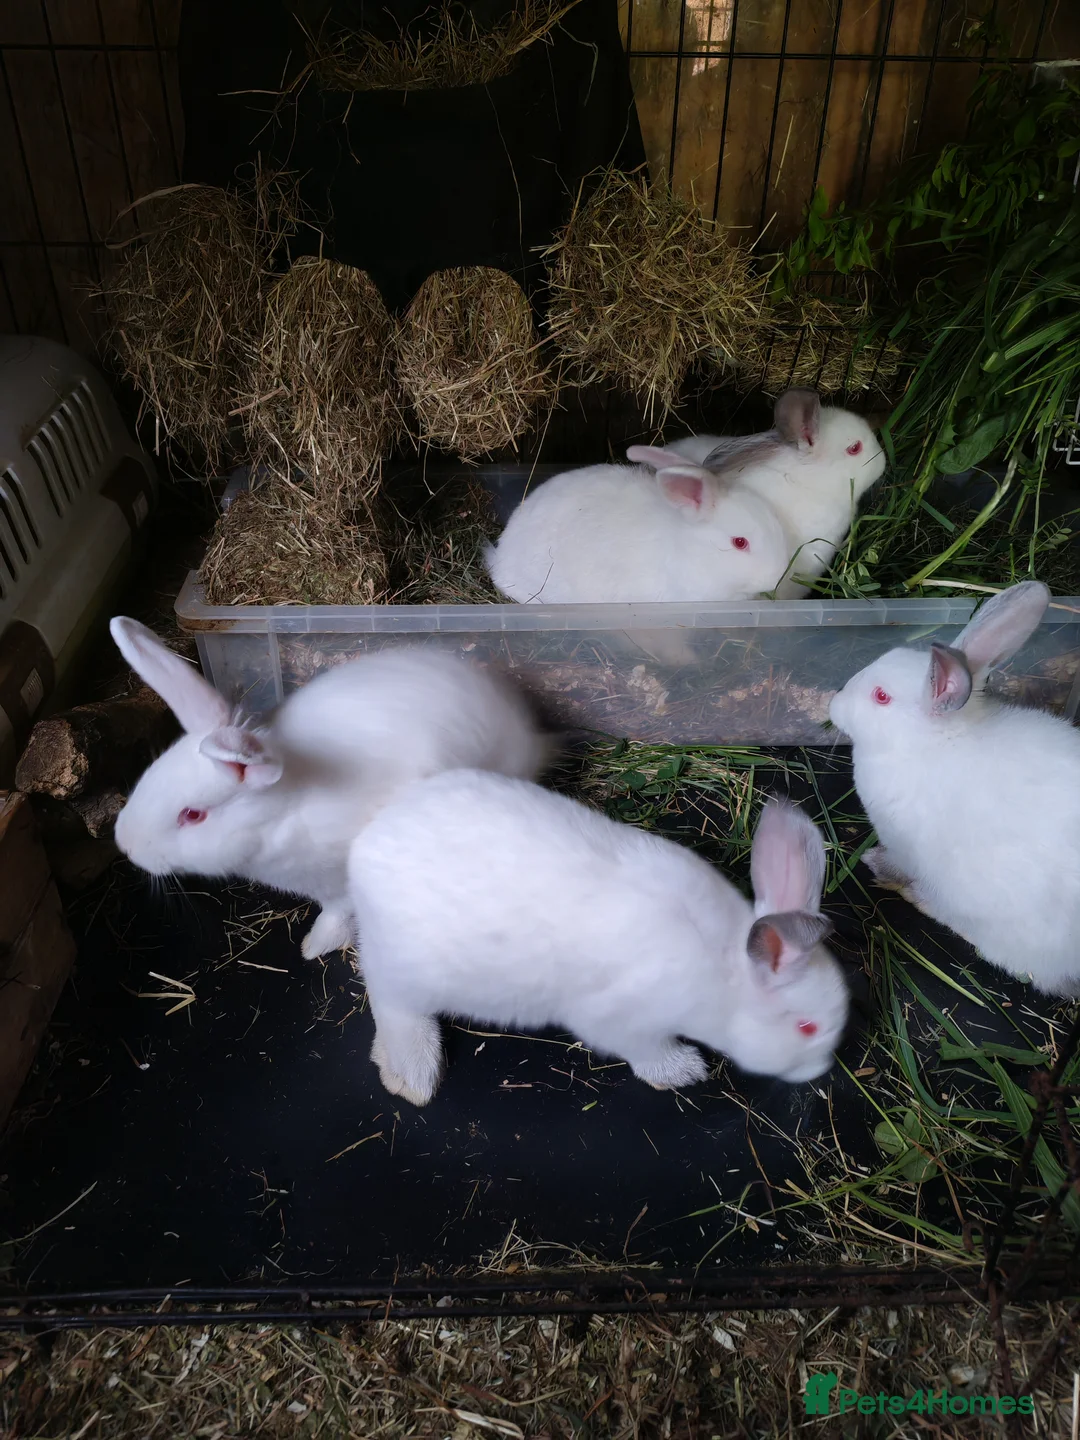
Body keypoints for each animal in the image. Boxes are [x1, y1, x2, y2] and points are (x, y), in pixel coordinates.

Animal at [109, 617, 549, 961]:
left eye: (192, 815)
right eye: (150, 774)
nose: (125, 846)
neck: (285, 812)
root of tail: (531, 736)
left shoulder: (338, 882)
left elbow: (336, 913)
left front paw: (315, 945)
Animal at [347, 771, 850, 1105]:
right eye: (806, 1028)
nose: (821, 1070)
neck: (727, 972)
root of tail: (366, 844)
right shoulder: (622, 1023)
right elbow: (646, 1051)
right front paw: (683, 1071)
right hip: (411, 972)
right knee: (389, 1000)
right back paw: (413, 1072)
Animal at [828, 580, 1080, 995]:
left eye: (881, 696)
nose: (833, 703)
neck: (933, 743)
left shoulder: (905, 847)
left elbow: (900, 862)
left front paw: (877, 864)